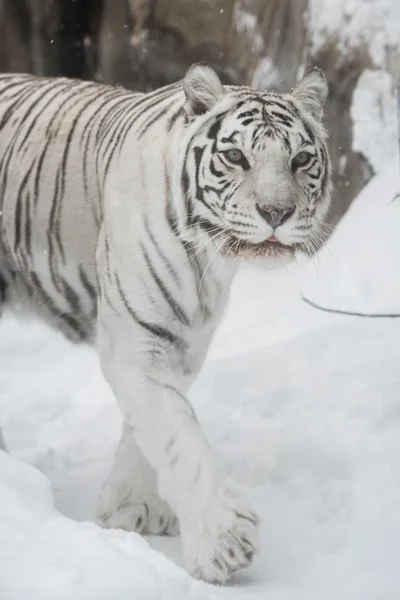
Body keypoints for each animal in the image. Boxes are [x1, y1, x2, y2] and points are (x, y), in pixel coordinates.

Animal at [0, 64, 332, 580]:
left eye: (300, 159)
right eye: (235, 156)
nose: (277, 212)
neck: (209, 258)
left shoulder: (183, 341)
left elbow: (151, 427)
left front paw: (129, 506)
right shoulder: (135, 340)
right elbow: (179, 435)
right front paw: (223, 540)